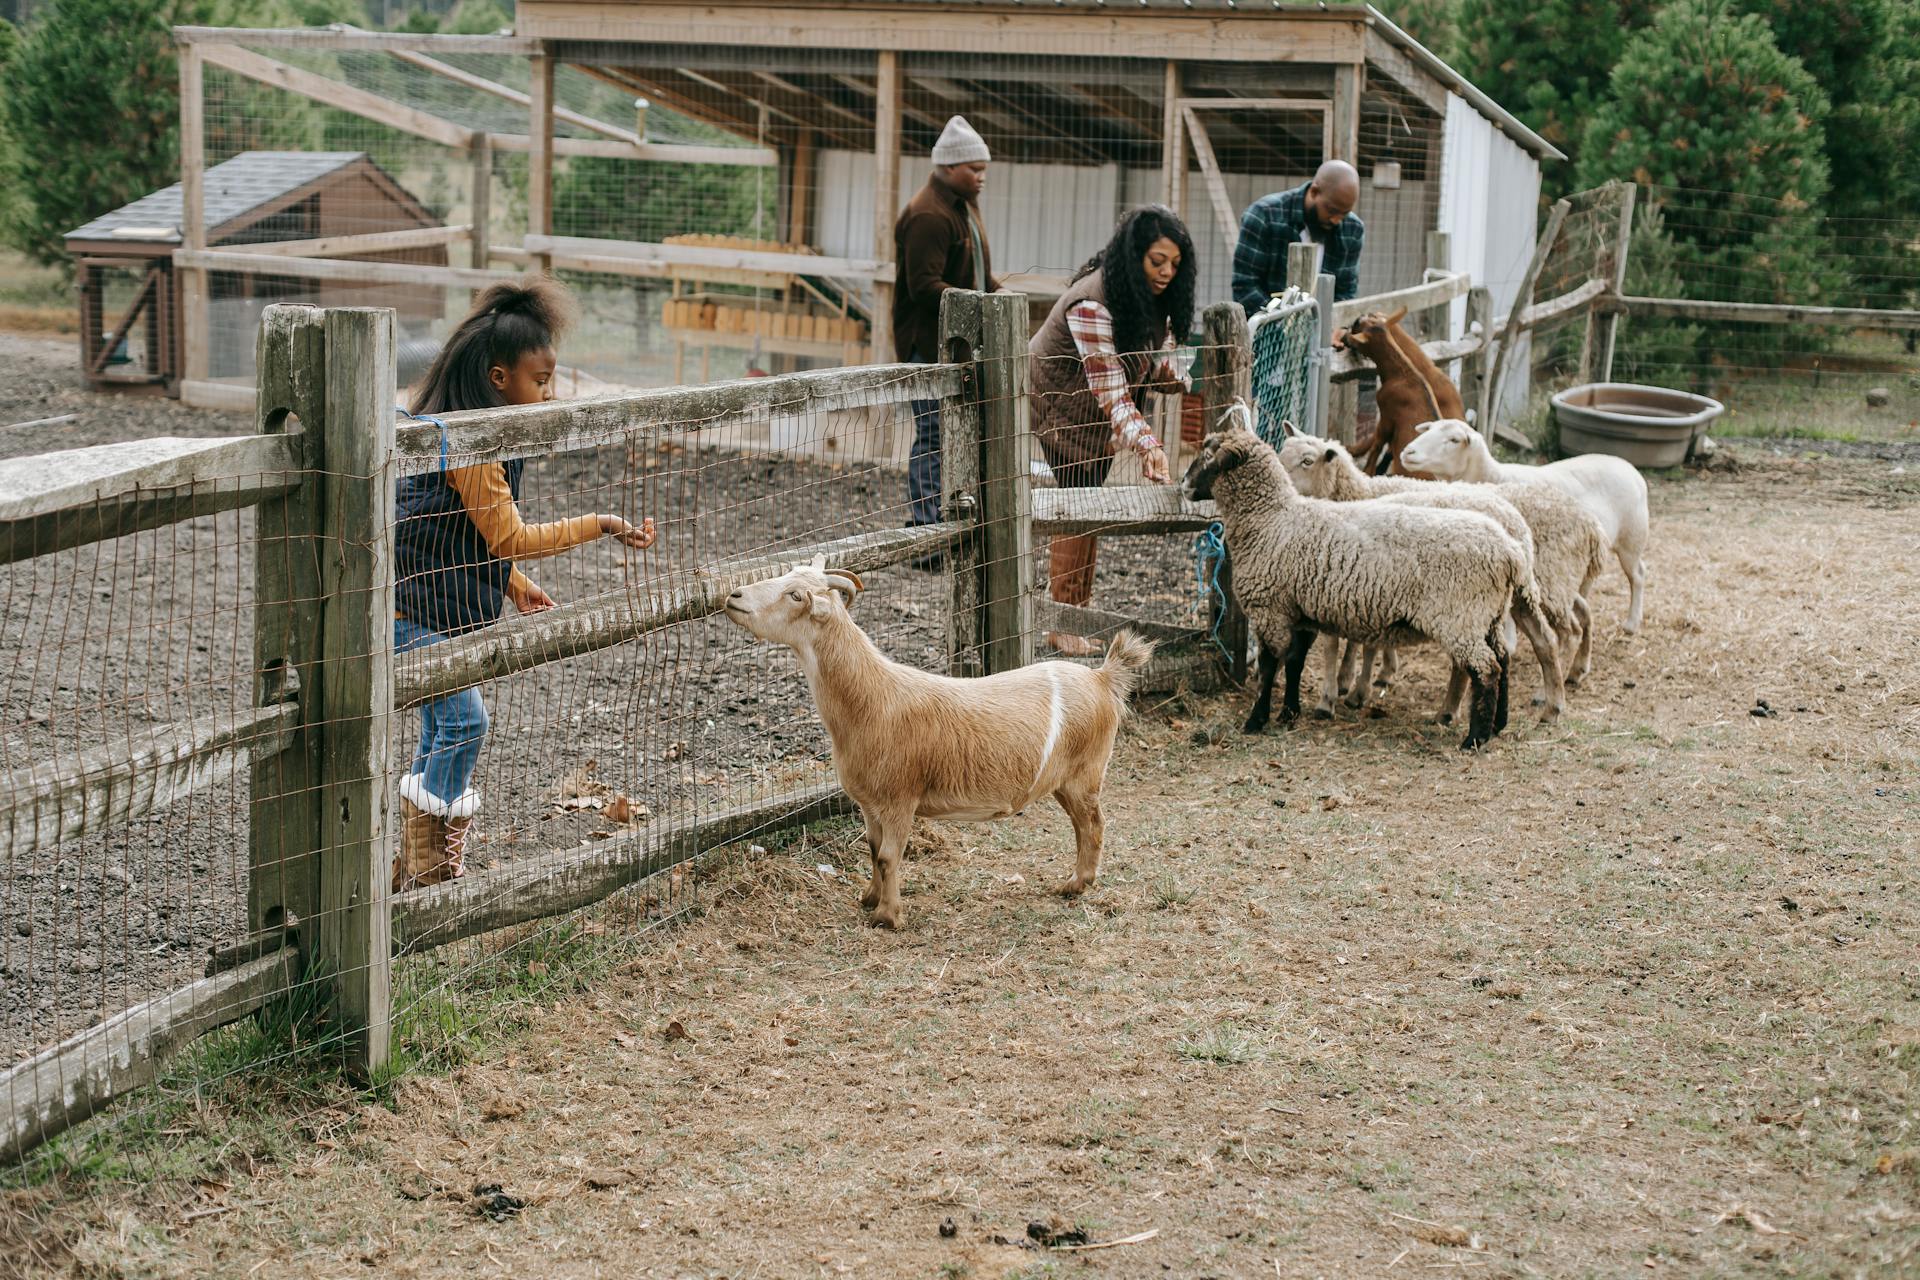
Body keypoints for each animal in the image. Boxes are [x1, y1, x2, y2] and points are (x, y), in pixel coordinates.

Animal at [721, 560, 1152, 932]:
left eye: (795, 595)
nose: (734, 595)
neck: (872, 699)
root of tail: (1103, 677)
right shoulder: (870, 803)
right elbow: (873, 850)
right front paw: (869, 898)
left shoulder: (900, 798)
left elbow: (889, 857)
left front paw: (888, 917)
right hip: (1067, 780)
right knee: (1083, 825)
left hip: (1085, 773)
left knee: (1093, 824)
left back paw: (1076, 884)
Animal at [1182, 410, 1528, 752]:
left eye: (1210, 456)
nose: (1184, 484)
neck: (1271, 519)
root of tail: (1510, 552)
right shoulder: (1301, 612)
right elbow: (1294, 662)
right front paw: (1289, 713)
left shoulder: (1271, 610)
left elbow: (1269, 667)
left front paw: (1256, 720)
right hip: (1488, 615)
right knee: (1503, 660)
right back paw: (1498, 724)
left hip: (1461, 616)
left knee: (1486, 669)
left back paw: (1474, 738)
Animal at [1344, 307, 1459, 479]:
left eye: (1357, 325)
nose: (1345, 335)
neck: (1402, 373)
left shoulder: (1386, 417)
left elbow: (1377, 444)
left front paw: (1365, 470)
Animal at [1397, 418, 1651, 633]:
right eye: (1428, 429)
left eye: (1454, 440)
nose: (1408, 452)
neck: (1492, 475)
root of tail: (1630, 469)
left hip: (1631, 539)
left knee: (1637, 575)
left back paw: (1631, 623)